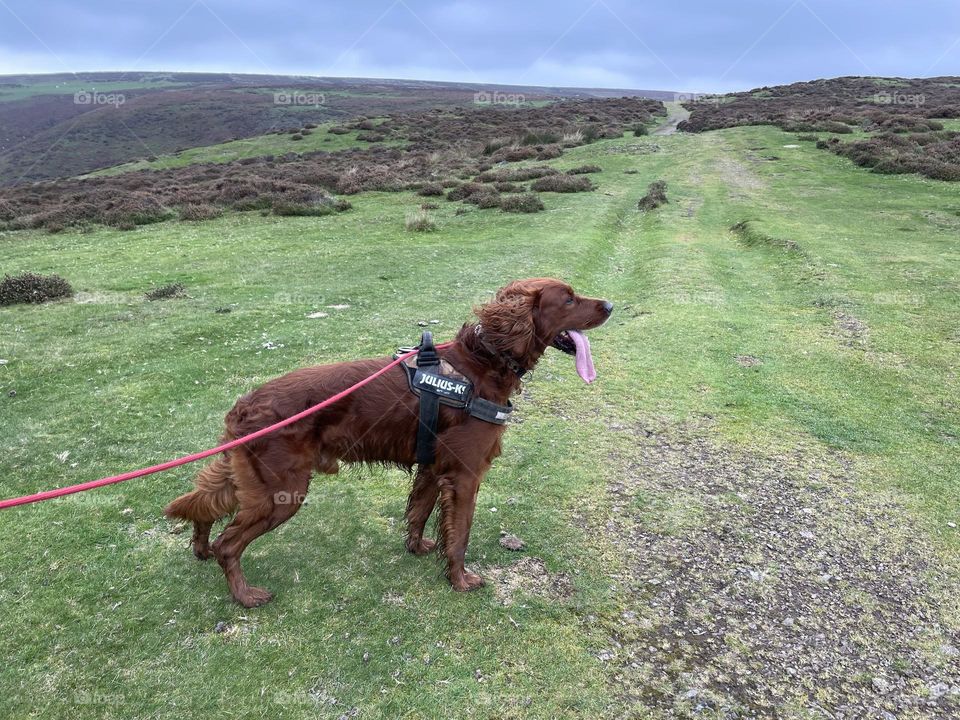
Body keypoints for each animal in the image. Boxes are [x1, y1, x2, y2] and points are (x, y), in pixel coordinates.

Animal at [165, 278, 612, 604]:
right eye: (568, 299)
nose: (609, 305)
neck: (483, 362)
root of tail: (244, 405)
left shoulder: (433, 467)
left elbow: (419, 513)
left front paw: (417, 548)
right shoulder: (464, 475)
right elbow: (460, 535)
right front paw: (461, 580)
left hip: (253, 480)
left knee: (205, 505)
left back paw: (200, 549)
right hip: (281, 493)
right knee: (228, 543)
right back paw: (245, 595)